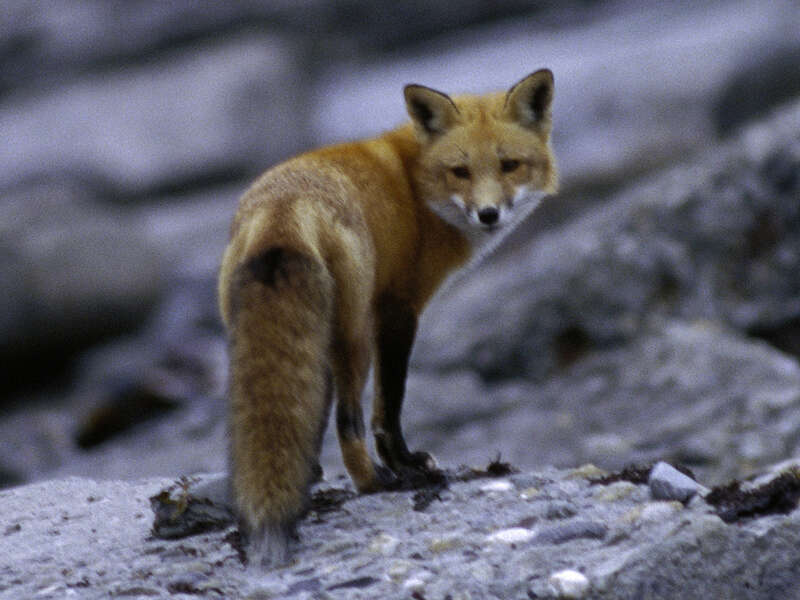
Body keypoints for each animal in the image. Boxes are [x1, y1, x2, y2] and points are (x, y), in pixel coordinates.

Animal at [217, 69, 557, 567]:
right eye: (461, 171)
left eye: (510, 165)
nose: (489, 214)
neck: (417, 190)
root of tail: (284, 206)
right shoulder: (397, 308)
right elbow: (389, 405)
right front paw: (405, 463)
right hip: (353, 337)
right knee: (348, 421)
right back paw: (374, 482)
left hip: (273, 336)